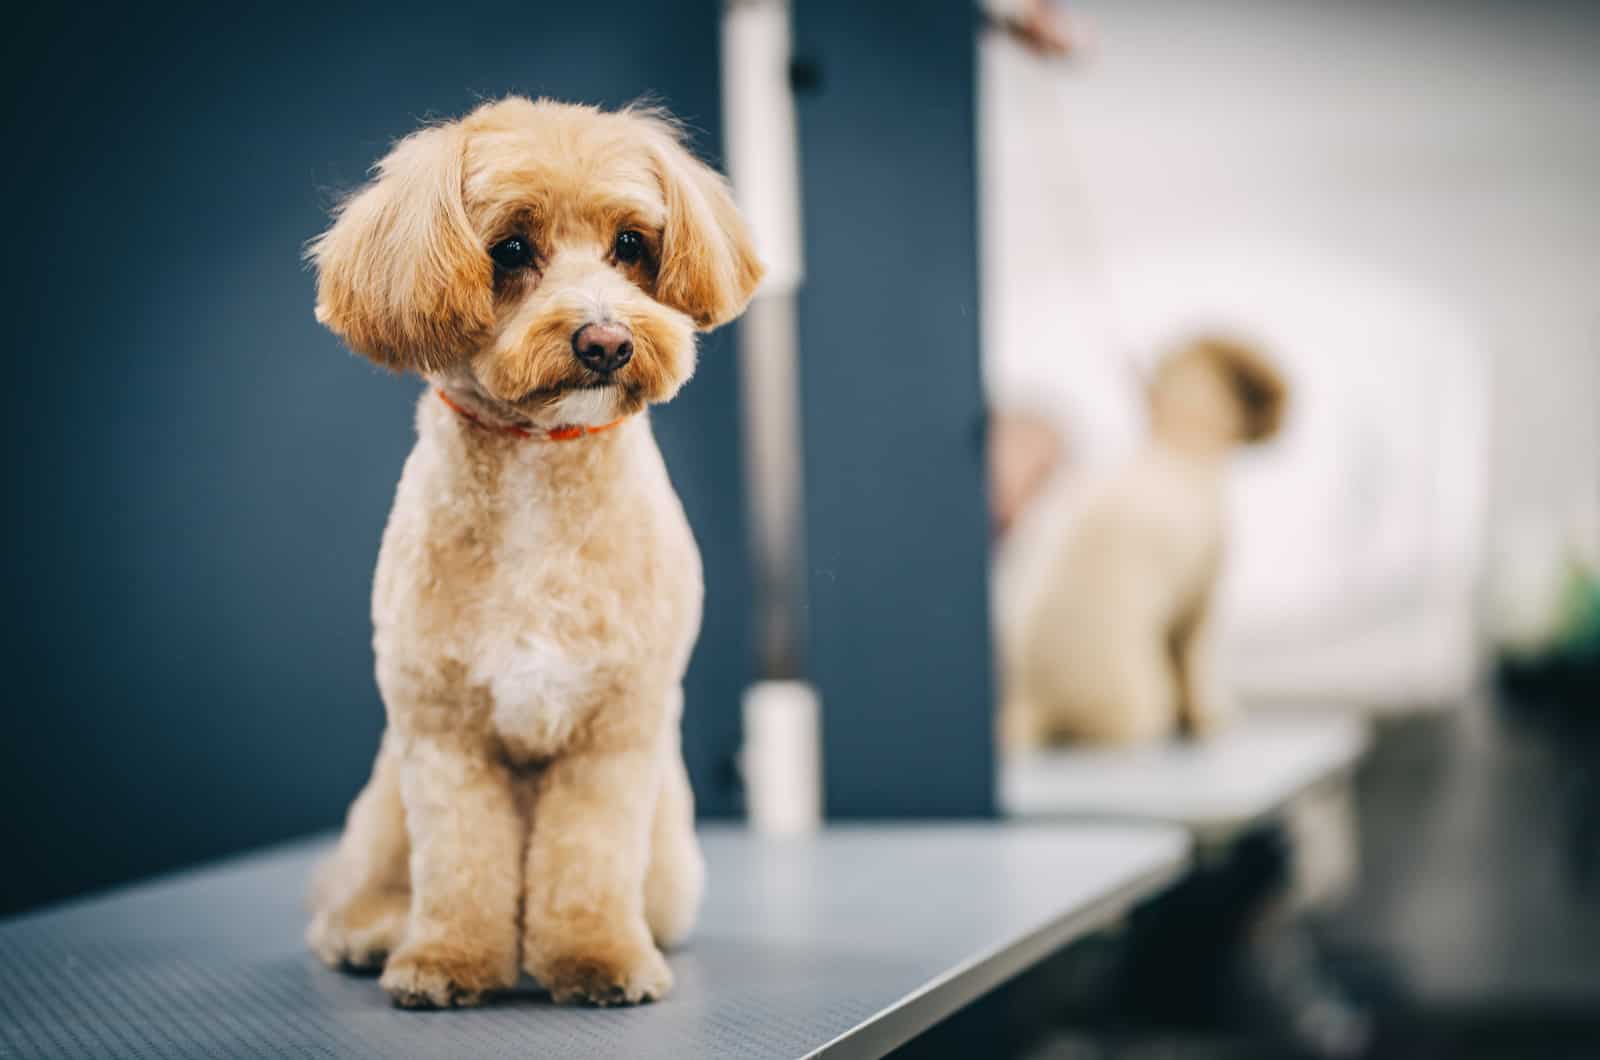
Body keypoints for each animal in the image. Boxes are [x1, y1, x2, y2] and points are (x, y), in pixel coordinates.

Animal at [307, 97, 768, 1011]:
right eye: (511, 249)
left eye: (632, 243)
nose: (606, 341)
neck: (537, 471)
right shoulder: (443, 733)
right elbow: (459, 863)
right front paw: (444, 960)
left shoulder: (614, 732)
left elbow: (587, 859)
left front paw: (597, 958)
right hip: (382, 804)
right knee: (367, 885)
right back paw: (370, 931)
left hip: (671, 852)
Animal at [998, 337, 1286, 746]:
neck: (1178, 444)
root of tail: (1034, 697)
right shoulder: (1199, 600)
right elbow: (1195, 669)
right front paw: (1210, 718)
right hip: (1144, 699)